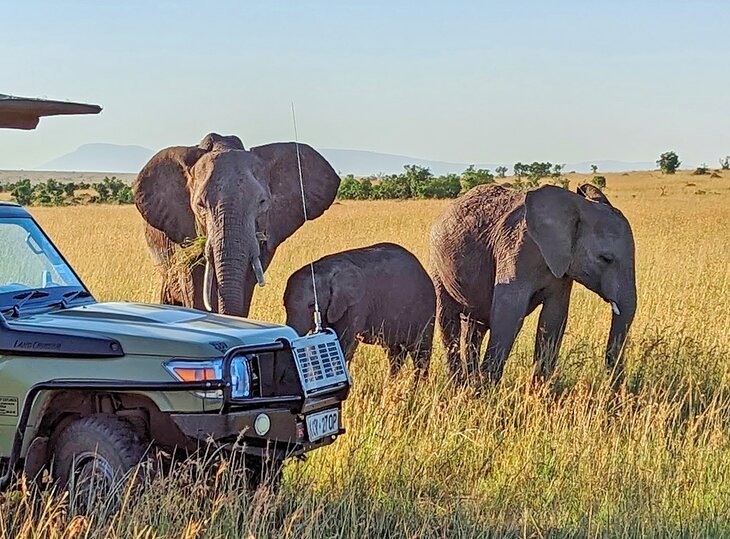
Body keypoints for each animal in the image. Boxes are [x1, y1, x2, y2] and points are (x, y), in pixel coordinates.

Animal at [282, 243, 432, 378]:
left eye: (312, 305)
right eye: (284, 305)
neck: (325, 269)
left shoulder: (356, 304)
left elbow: (345, 343)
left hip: (425, 308)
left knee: (421, 355)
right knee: (395, 354)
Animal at [430, 184, 636, 386]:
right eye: (606, 259)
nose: (613, 385)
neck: (576, 205)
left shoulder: (562, 267)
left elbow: (553, 318)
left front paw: (539, 390)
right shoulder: (516, 249)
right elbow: (508, 315)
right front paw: (486, 391)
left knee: (474, 328)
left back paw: (468, 383)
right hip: (437, 266)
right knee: (447, 319)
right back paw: (459, 385)